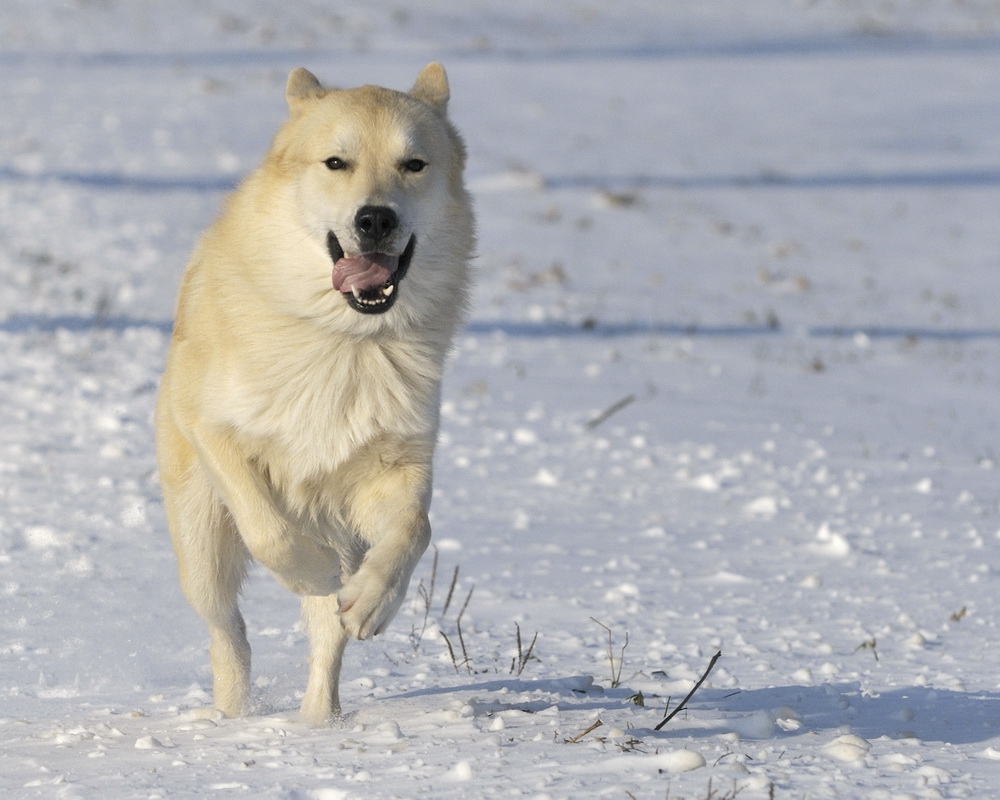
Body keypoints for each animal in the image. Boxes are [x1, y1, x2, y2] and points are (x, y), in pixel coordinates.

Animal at [157, 64, 476, 724]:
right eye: (336, 162)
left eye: (414, 164)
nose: (376, 219)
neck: (344, 340)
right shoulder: (216, 433)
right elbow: (271, 531)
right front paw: (312, 572)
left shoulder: (392, 467)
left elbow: (416, 529)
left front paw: (372, 602)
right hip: (201, 547)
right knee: (228, 634)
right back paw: (233, 718)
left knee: (325, 641)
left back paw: (317, 724)